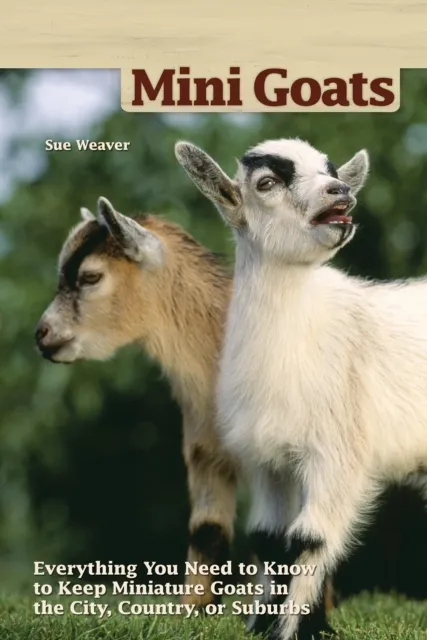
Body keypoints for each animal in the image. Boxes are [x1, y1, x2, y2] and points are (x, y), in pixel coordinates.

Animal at [175, 137, 427, 640]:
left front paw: (296, 629)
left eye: (332, 170)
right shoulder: (268, 458)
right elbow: (269, 539)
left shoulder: (338, 450)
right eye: (266, 183)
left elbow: (309, 539)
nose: (340, 191)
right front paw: (259, 623)